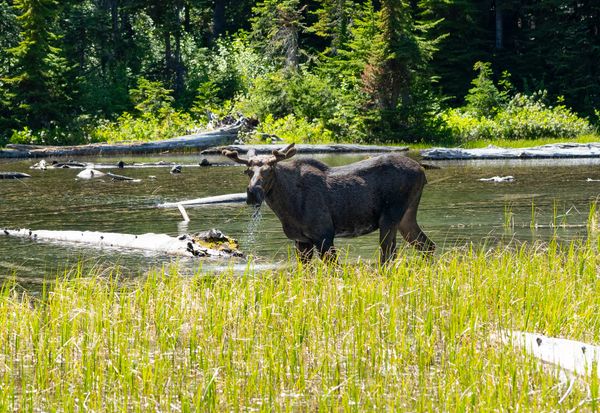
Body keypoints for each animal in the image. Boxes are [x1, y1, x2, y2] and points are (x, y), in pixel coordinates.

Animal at [223, 143, 434, 262]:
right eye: (248, 171)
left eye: (269, 170)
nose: (253, 193)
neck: (286, 208)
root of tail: (422, 171)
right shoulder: (301, 241)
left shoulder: (324, 234)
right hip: (406, 217)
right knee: (428, 246)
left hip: (390, 217)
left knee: (388, 256)